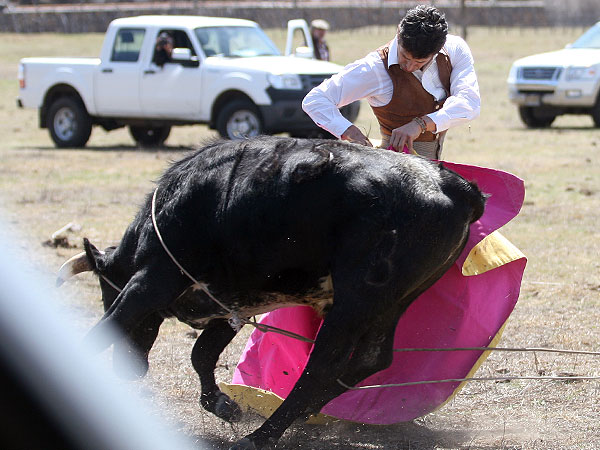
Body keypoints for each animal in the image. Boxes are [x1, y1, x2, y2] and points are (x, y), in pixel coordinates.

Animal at [57, 137, 488, 450]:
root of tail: (452, 185)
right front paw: (225, 406)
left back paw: (262, 435)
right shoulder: (231, 299)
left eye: (105, 291)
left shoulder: (151, 281)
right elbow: (202, 354)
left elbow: (110, 326)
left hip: (355, 300)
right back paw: (303, 416)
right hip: (393, 303)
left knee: (322, 365)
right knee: (372, 357)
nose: (127, 371)